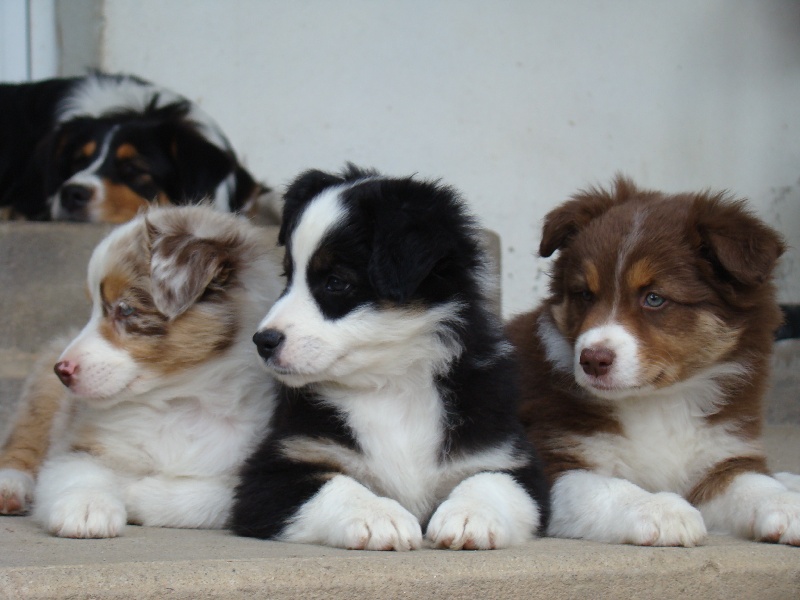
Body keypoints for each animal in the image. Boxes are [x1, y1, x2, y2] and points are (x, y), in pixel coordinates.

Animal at [0, 206, 282, 540]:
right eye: (92, 309)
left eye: (125, 310)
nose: (62, 370)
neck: (179, 401)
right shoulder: (78, 444)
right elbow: (79, 472)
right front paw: (87, 507)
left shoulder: (251, 478)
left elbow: (213, 496)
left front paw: (135, 494)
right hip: (43, 397)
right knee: (22, 444)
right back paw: (10, 487)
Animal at [233, 166, 552, 552]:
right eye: (287, 275)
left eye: (335, 282)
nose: (263, 341)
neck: (390, 383)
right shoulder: (274, 469)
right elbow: (337, 485)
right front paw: (380, 517)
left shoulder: (509, 457)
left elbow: (492, 481)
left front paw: (469, 517)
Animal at [506, 176, 800, 548]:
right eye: (585, 294)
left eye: (654, 298)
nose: (592, 360)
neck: (660, 401)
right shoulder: (554, 459)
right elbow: (609, 488)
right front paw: (662, 509)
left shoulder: (722, 454)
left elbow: (755, 484)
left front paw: (787, 504)